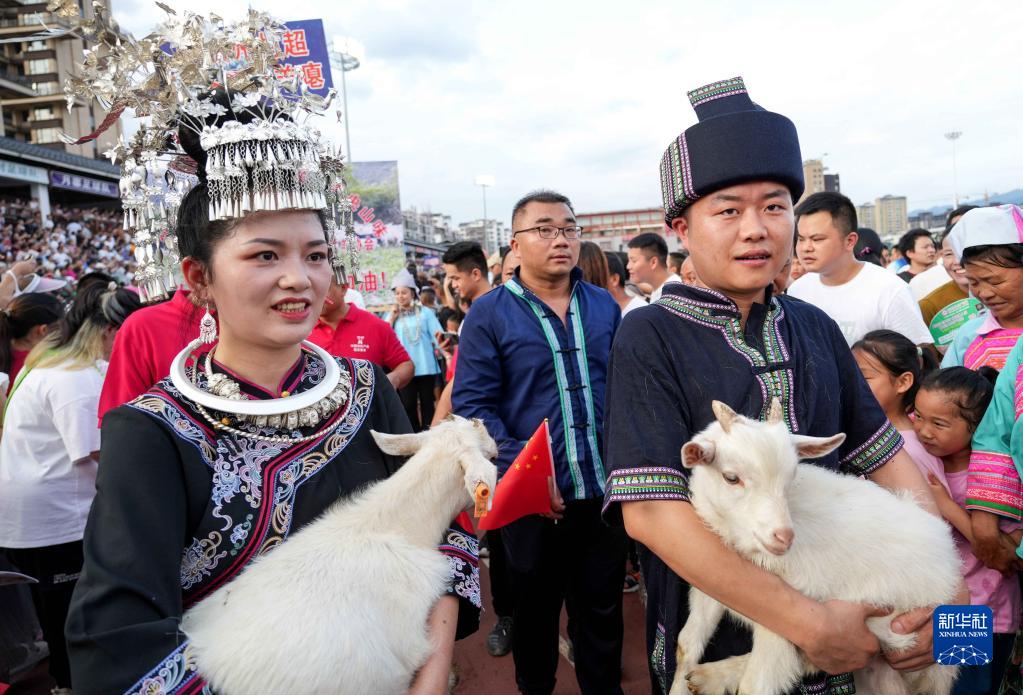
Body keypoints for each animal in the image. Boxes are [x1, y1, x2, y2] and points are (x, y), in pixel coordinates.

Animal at [666, 399, 961, 695]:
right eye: (731, 477)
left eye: (790, 479)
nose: (784, 537)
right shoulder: (714, 584)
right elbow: (686, 643)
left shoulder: (787, 617)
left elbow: (756, 685)